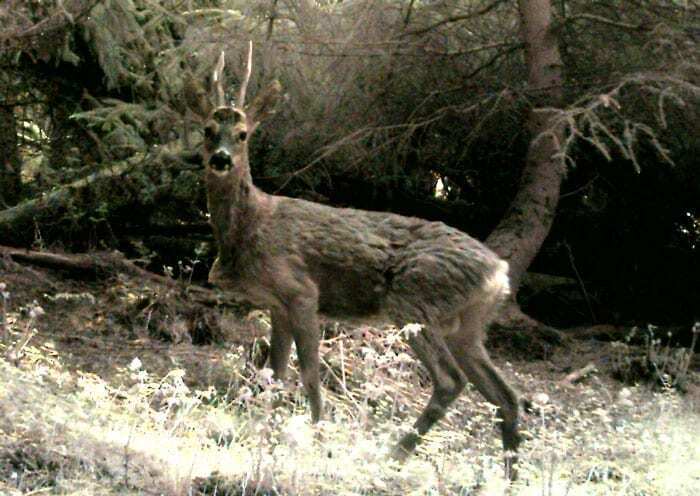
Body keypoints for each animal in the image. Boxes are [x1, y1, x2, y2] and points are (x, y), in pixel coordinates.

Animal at [189, 47, 524, 480]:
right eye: (208, 129)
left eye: (243, 134)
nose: (221, 159)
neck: (251, 226)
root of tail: (499, 273)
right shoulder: (275, 303)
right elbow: (275, 372)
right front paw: (259, 429)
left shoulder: (302, 291)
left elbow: (309, 375)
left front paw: (317, 437)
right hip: (466, 327)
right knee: (506, 395)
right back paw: (509, 477)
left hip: (413, 302)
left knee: (452, 381)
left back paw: (394, 455)